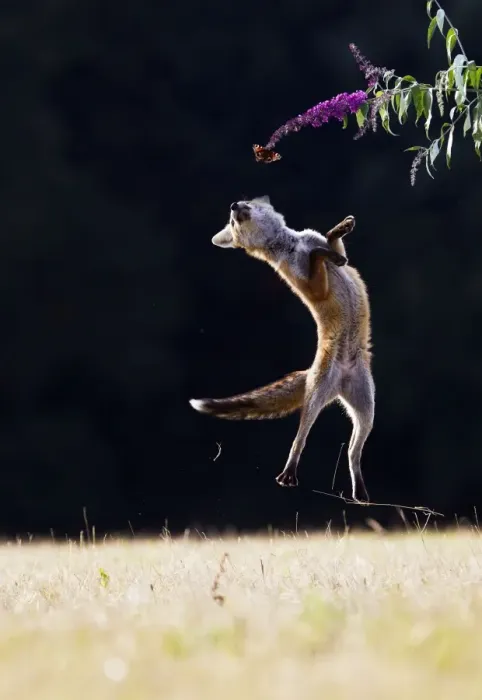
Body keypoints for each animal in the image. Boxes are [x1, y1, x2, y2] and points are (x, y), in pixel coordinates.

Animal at [189, 196, 374, 502]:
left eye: (246, 201)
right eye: (231, 222)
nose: (233, 205)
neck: (291, 245)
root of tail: (337, 382)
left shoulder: (329, 252)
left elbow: (332, 244)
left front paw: (340, 230)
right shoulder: (311, 288)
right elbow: (318, 257)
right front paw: (327, 252)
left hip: (366, 410)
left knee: (352, 452)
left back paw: (359, 492)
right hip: (316, 399)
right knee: (300, 439)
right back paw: (289, 473)